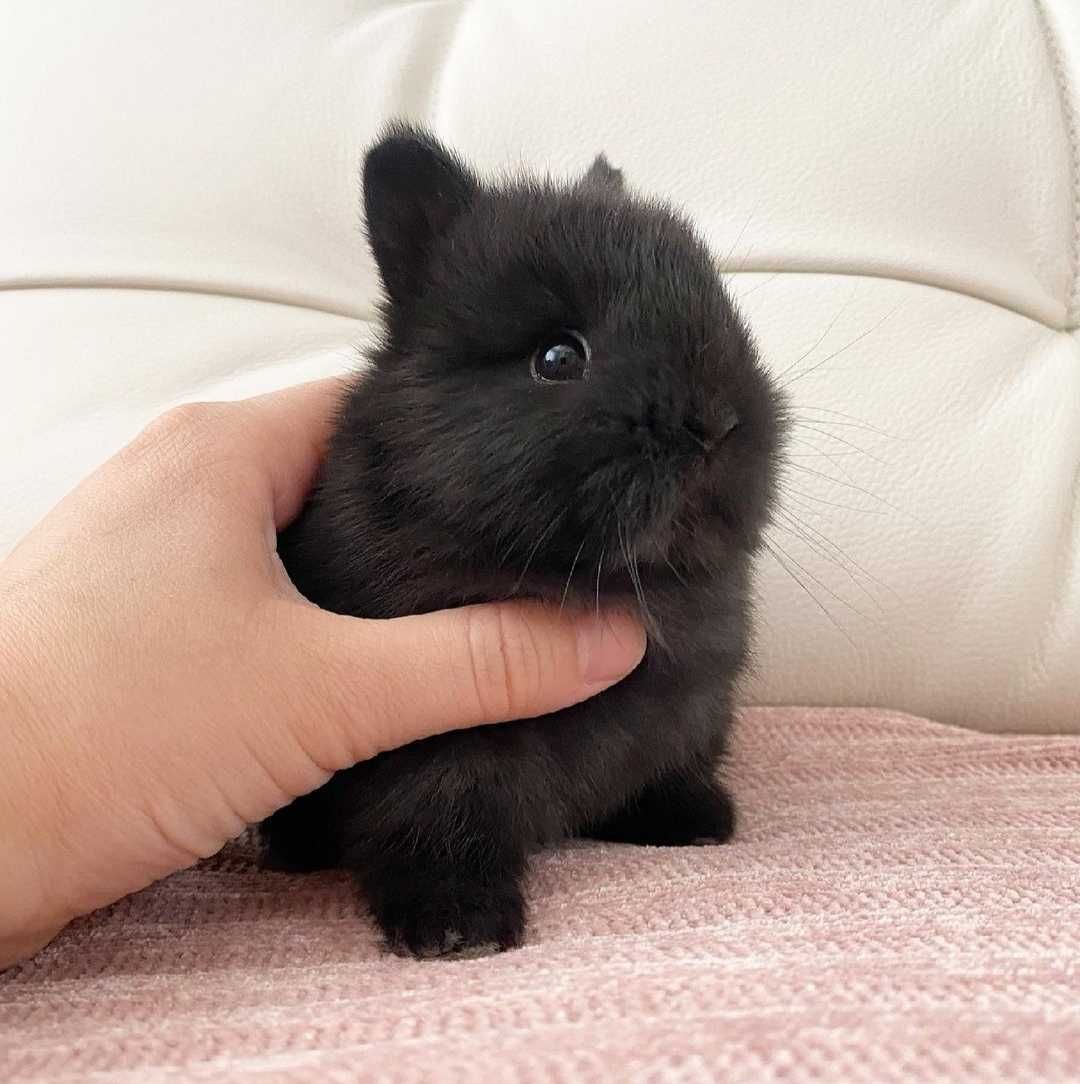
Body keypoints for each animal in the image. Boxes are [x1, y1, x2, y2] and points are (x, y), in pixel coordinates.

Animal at [261, 124, 785, 958]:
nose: (715, 423)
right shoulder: (434, 740)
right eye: (557, 357)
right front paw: (454, 926)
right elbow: (433, 817)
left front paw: (694, 820)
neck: (615, 579)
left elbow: (668, 767)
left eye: (730, 318)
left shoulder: (694, 708)